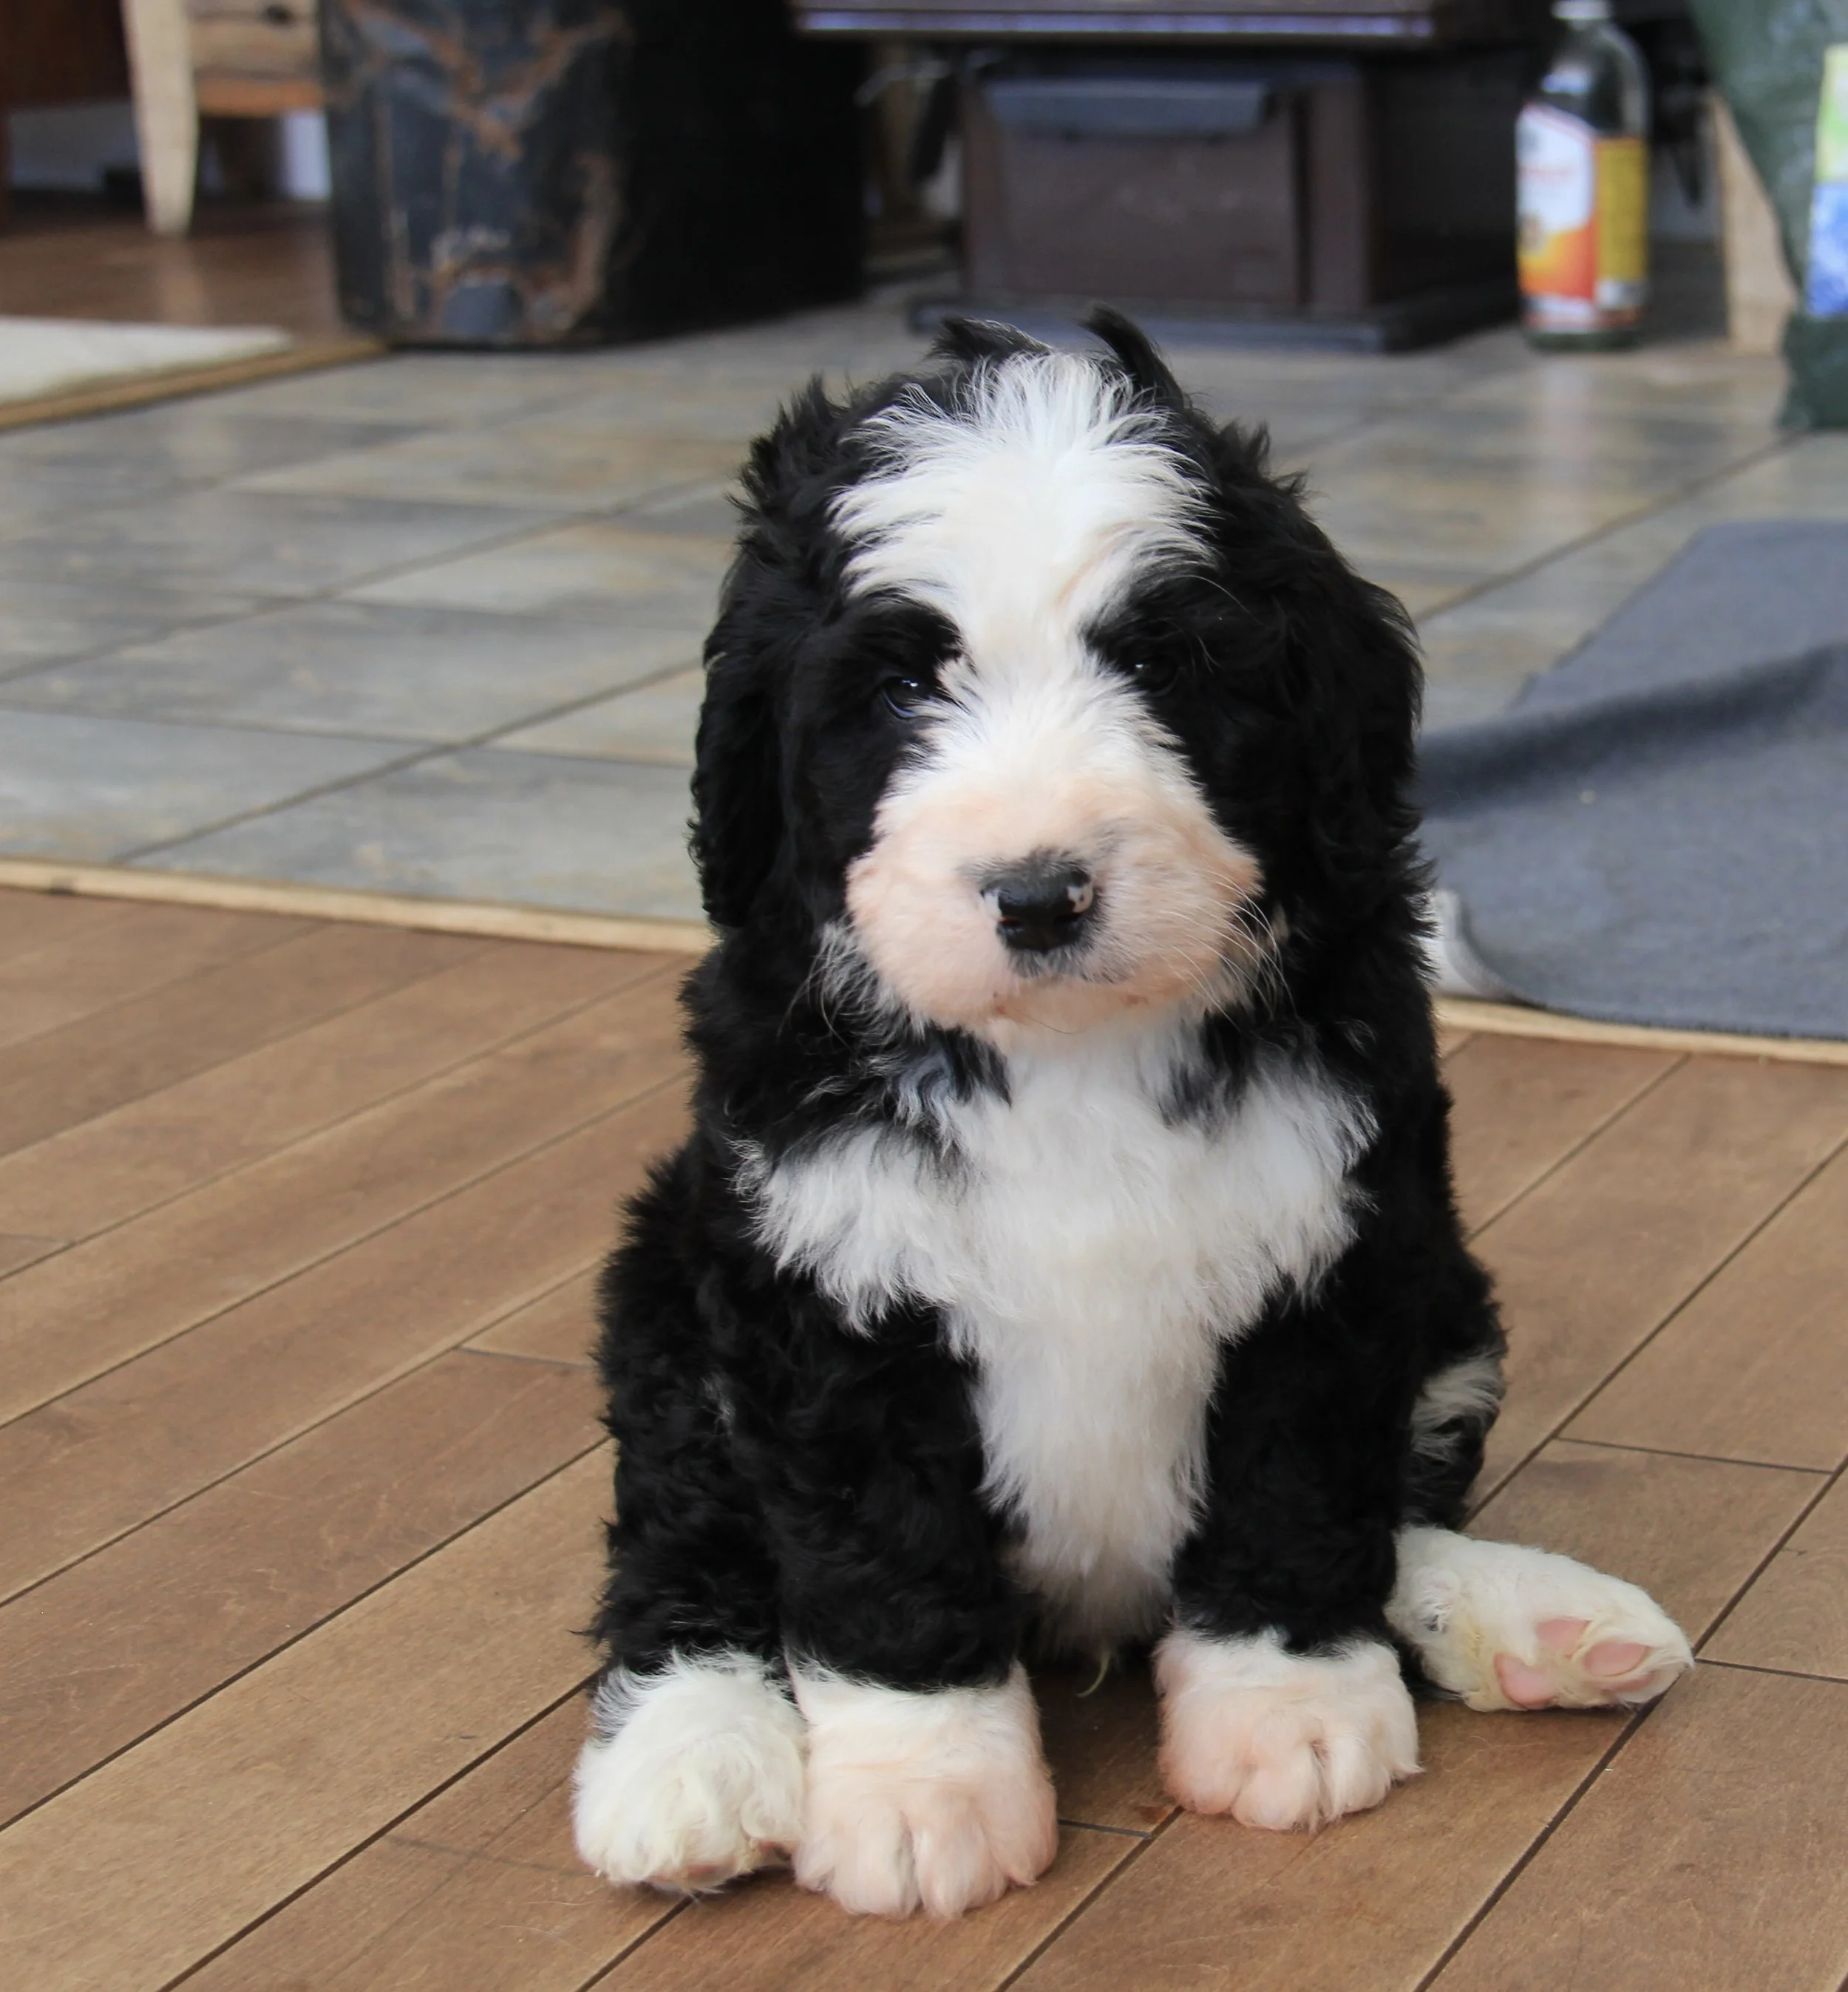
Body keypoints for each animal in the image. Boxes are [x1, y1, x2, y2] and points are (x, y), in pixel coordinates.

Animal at [571, 312, 1692, 1918]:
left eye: (1162, 663)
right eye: (901, 693)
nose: (1039, 893)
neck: (1069, 1054)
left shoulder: (1330, 1243)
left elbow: (1298, 1498)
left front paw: (1286, 1707)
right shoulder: (828, 1282)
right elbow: (879, 1558)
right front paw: (923, 1794)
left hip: (1448, 1303)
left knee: (1403, 1510)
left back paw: (1543, 1624)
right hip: (672, 1300)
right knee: (685, 1561)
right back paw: (689, 1768)